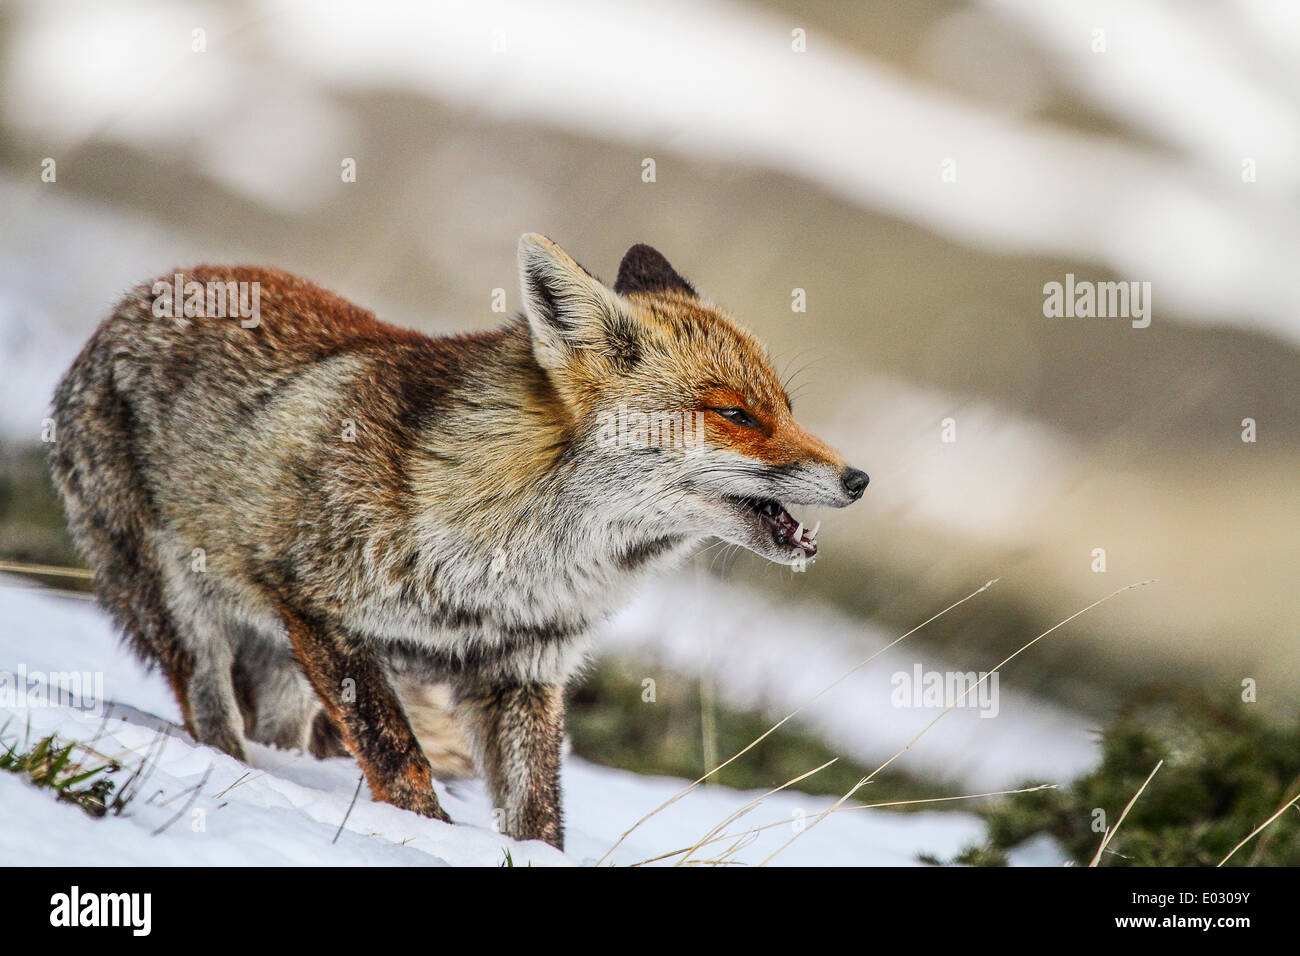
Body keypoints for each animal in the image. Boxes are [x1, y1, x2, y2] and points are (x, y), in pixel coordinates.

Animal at [50, 235, 868, 848]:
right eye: (735, 414)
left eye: (785, 408)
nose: (859, 479)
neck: (517, 559)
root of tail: (139, 295)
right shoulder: (324, 616)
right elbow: (399, 759)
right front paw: (421, 838)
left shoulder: (522, 669)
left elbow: (538, 818)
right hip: (188, 615)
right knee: (214, 718)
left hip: (282, 661)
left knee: (280, 733)